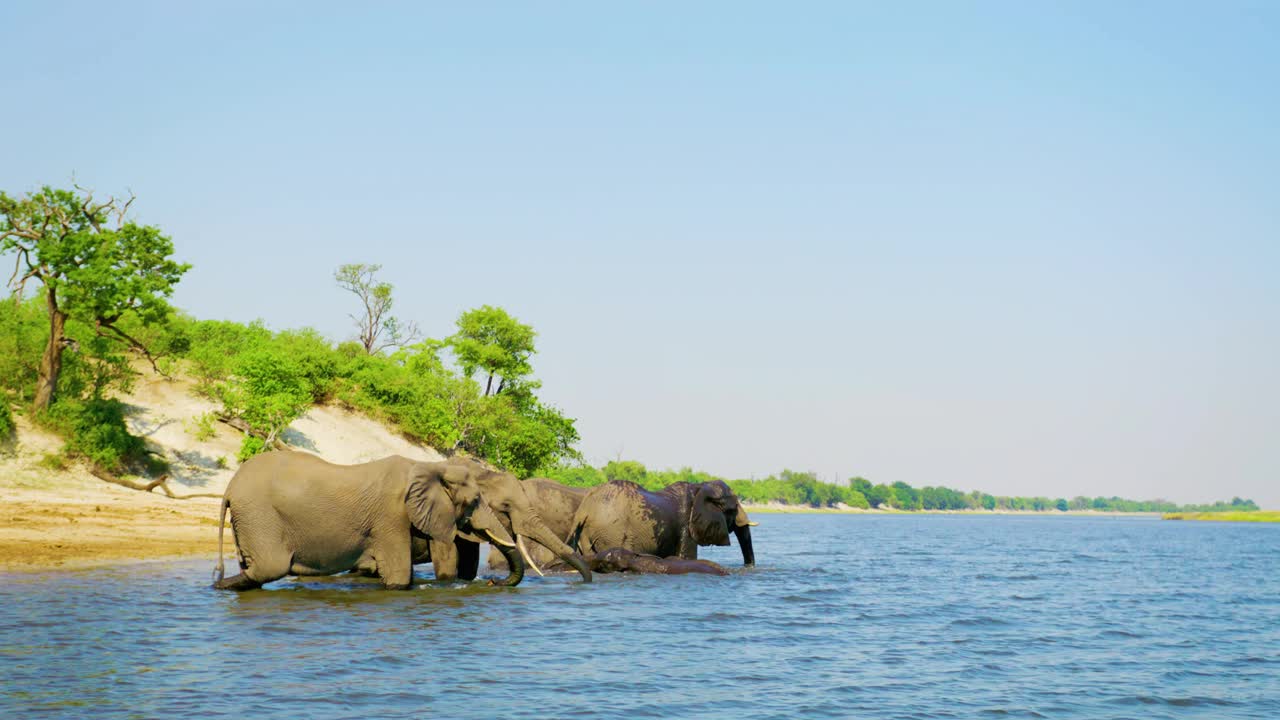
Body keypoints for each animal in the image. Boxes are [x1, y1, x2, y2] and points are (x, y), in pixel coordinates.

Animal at [212, 448, 522, 589]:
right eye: (474, 501)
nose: (493, 583)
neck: (429, 465)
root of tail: (230, 487)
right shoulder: (391, 517)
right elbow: (399, 577)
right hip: (259, 515)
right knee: (269, 568)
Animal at [565, 479, 752, 563]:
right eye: (732, 509)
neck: (700, 487)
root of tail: (584, 509)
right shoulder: (685, 525)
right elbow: (686, 558)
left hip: (588, 532)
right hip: (612, 531)